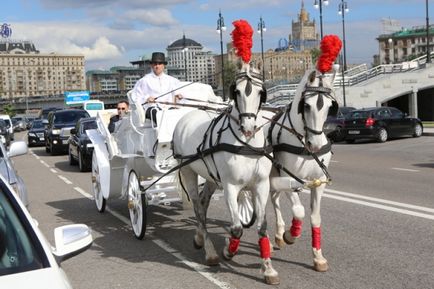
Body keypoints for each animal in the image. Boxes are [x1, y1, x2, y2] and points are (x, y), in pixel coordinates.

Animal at [172, 62, 278, 284]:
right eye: (236, 91)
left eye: (260, 92)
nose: (248, 127)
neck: (246, 144)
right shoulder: (230, 186)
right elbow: (237, 228)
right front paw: (229, 251)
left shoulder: (261, 185)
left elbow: (262, 226)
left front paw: (268, 269)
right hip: (188, 171)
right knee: (198, 207)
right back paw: (210, 251)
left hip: (211, 177)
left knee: (204, 203)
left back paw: (199, 238)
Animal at [268, 66, 340, 272]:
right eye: (306, 106)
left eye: (329, 106)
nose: (315, 145)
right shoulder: (290, 180)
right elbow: (299, 211)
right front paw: (291, 235)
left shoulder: (318, 182)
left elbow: (315, 218)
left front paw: (318, 257)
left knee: (274, 199)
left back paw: (278, 233)